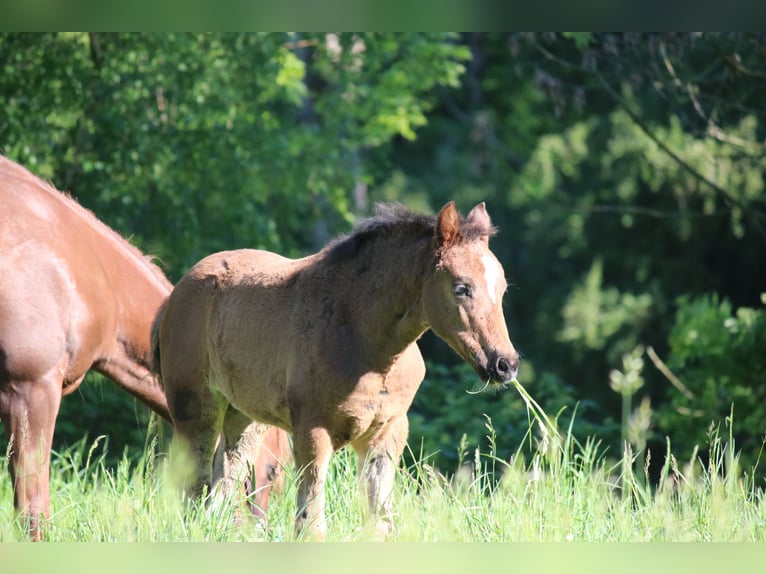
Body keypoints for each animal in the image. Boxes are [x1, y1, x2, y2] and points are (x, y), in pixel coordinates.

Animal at [152, 200, 519, 539]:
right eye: (462, 288)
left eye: (502, 289)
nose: (505, 364)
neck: (368, 347)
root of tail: (177, 291)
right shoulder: (312, 432)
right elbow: (311, 524)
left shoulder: (387, 434)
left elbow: (380, 525)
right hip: (194, 409)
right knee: (193, 486)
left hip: (245, 416)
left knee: (223, 483)